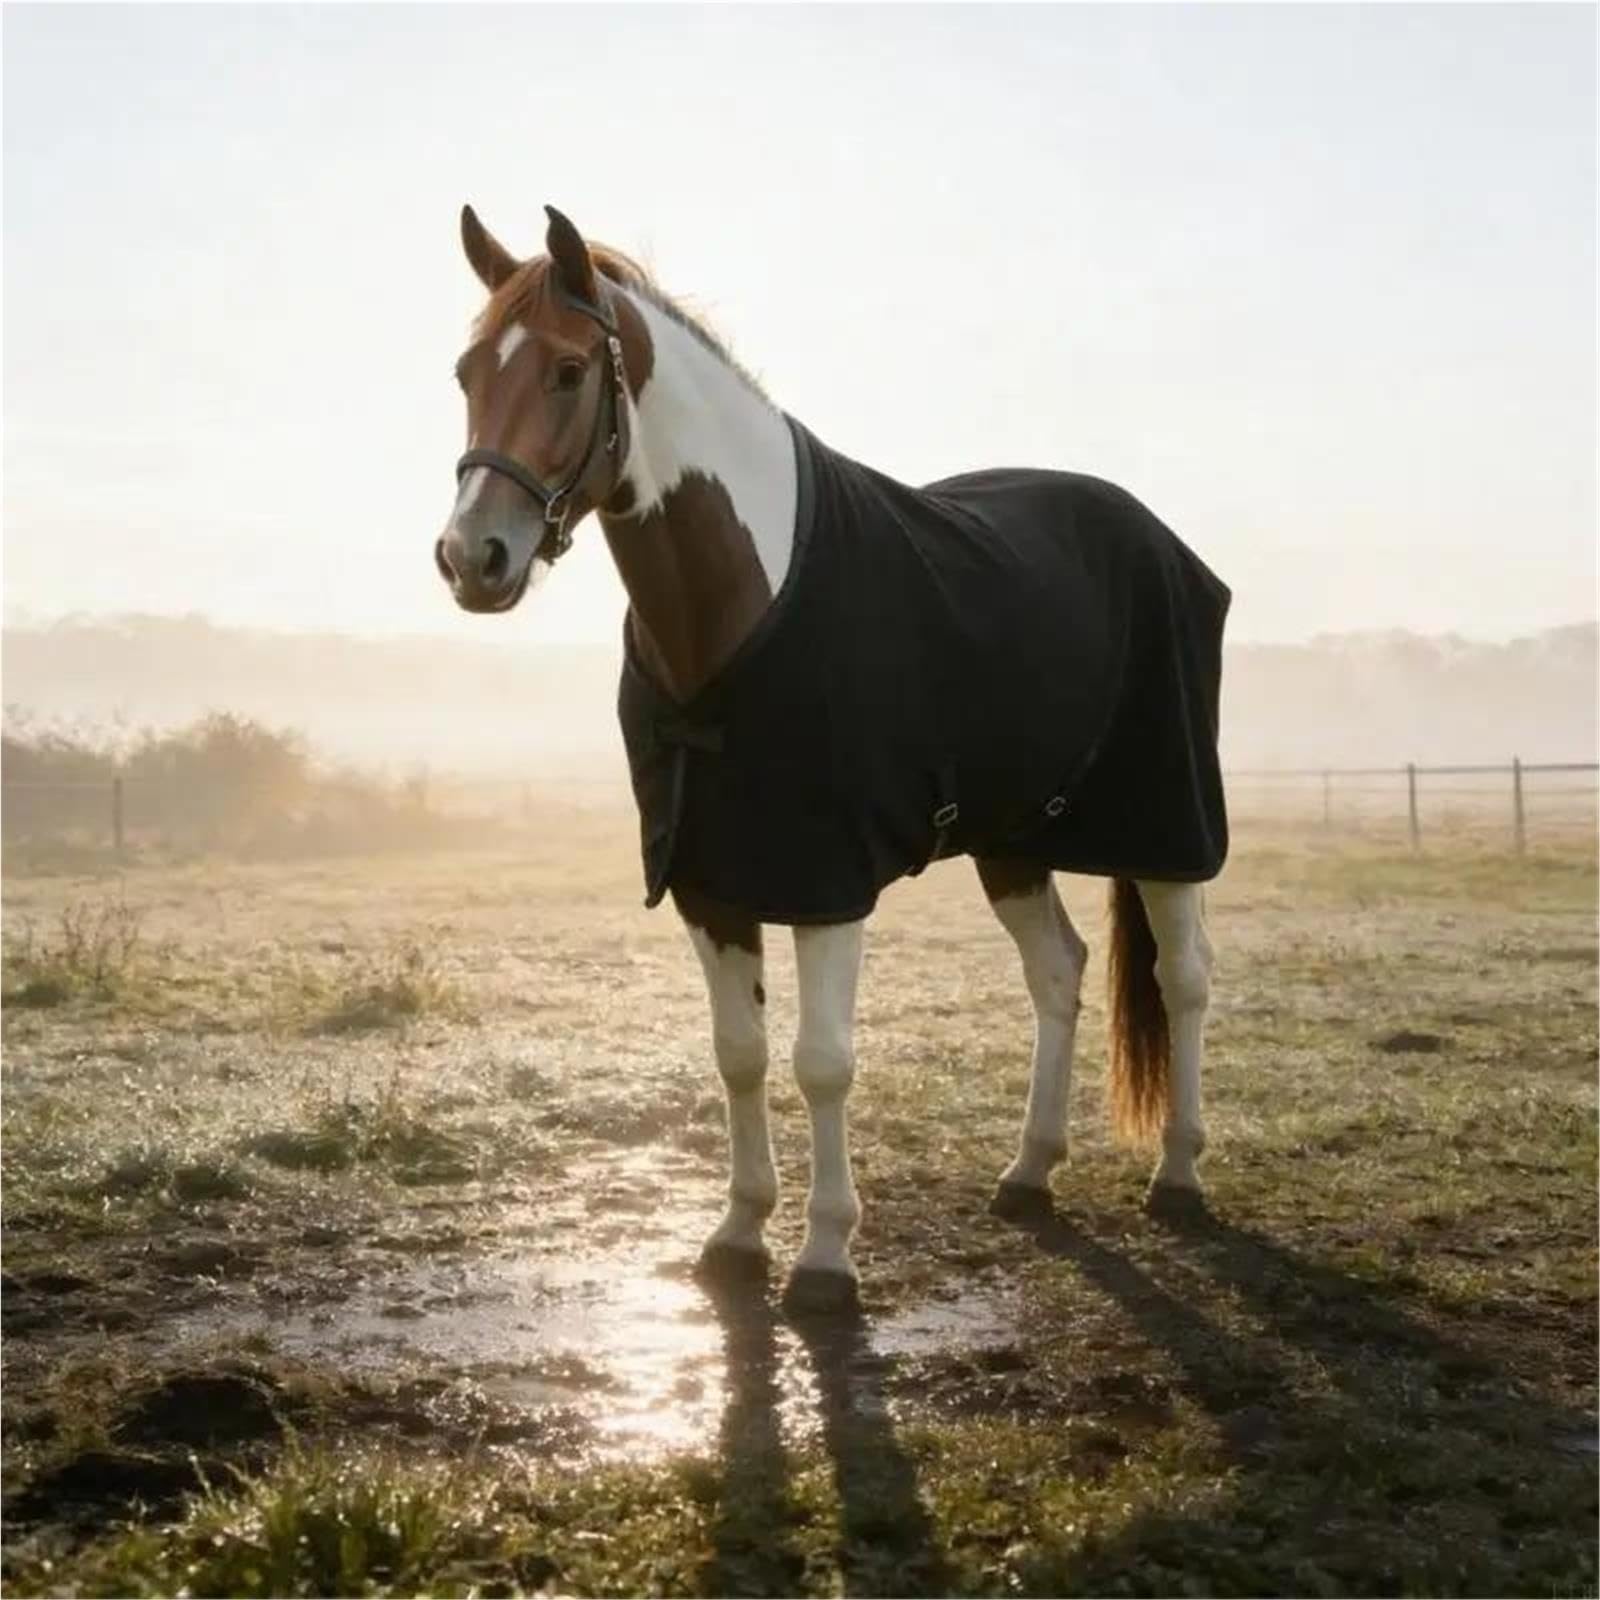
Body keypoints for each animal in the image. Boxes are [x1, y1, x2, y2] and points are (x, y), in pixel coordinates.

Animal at [436, 204, 1229, 1313]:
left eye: (565, 369)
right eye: (466, 372)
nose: (473, 558)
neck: (740, 601)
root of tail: (1151, 531)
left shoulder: (827, 885)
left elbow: (821, 1062)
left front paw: (822, 1258)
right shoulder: (710, 885)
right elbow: (738, 1055)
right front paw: (736, 1234)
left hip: (1166, 822)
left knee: (1186, 976)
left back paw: (1180, 1173)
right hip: (1014, 841)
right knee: (1058, 972)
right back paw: (1029, 1171)